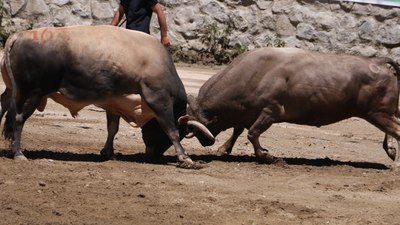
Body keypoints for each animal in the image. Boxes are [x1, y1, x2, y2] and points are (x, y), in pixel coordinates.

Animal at [1, 25, 214, 168]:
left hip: (11, 91)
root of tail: (18, 36)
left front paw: (108, 152)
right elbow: (170, 129)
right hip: (32, 93)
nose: (152, 154)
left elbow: (113, 129)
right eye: (184, 132)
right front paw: (185, 157)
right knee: (18, 119)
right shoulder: (159, 100)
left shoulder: (114, 103)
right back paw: (18, 153)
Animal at [188, 47, 400, 167]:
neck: (255, 72)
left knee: (396, 129)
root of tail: (377, 61)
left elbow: (252, 133)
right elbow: (238, 130)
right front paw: (223, 149)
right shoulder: (247, 113)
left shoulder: (271, 111)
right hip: (383, 112)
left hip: (376, 113)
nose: (206, 142)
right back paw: (391, 150)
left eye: (197, 128)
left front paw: (267, 156)